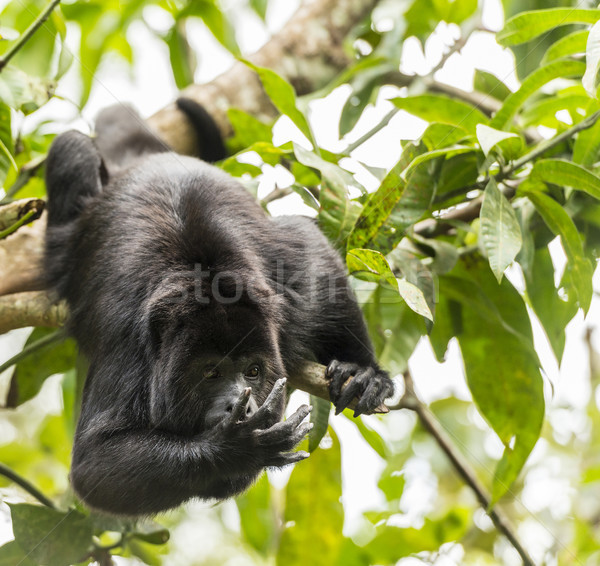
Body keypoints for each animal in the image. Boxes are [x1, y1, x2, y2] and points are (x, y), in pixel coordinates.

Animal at [43, 100, 394, 516]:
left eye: (253, 371)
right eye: (210, 372)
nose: (242, 408)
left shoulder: (287, 290)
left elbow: (310, 248)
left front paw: (362, 369)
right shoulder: (126, 338)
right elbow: (95, 465)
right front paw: (238, 447)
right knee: (72, 146)